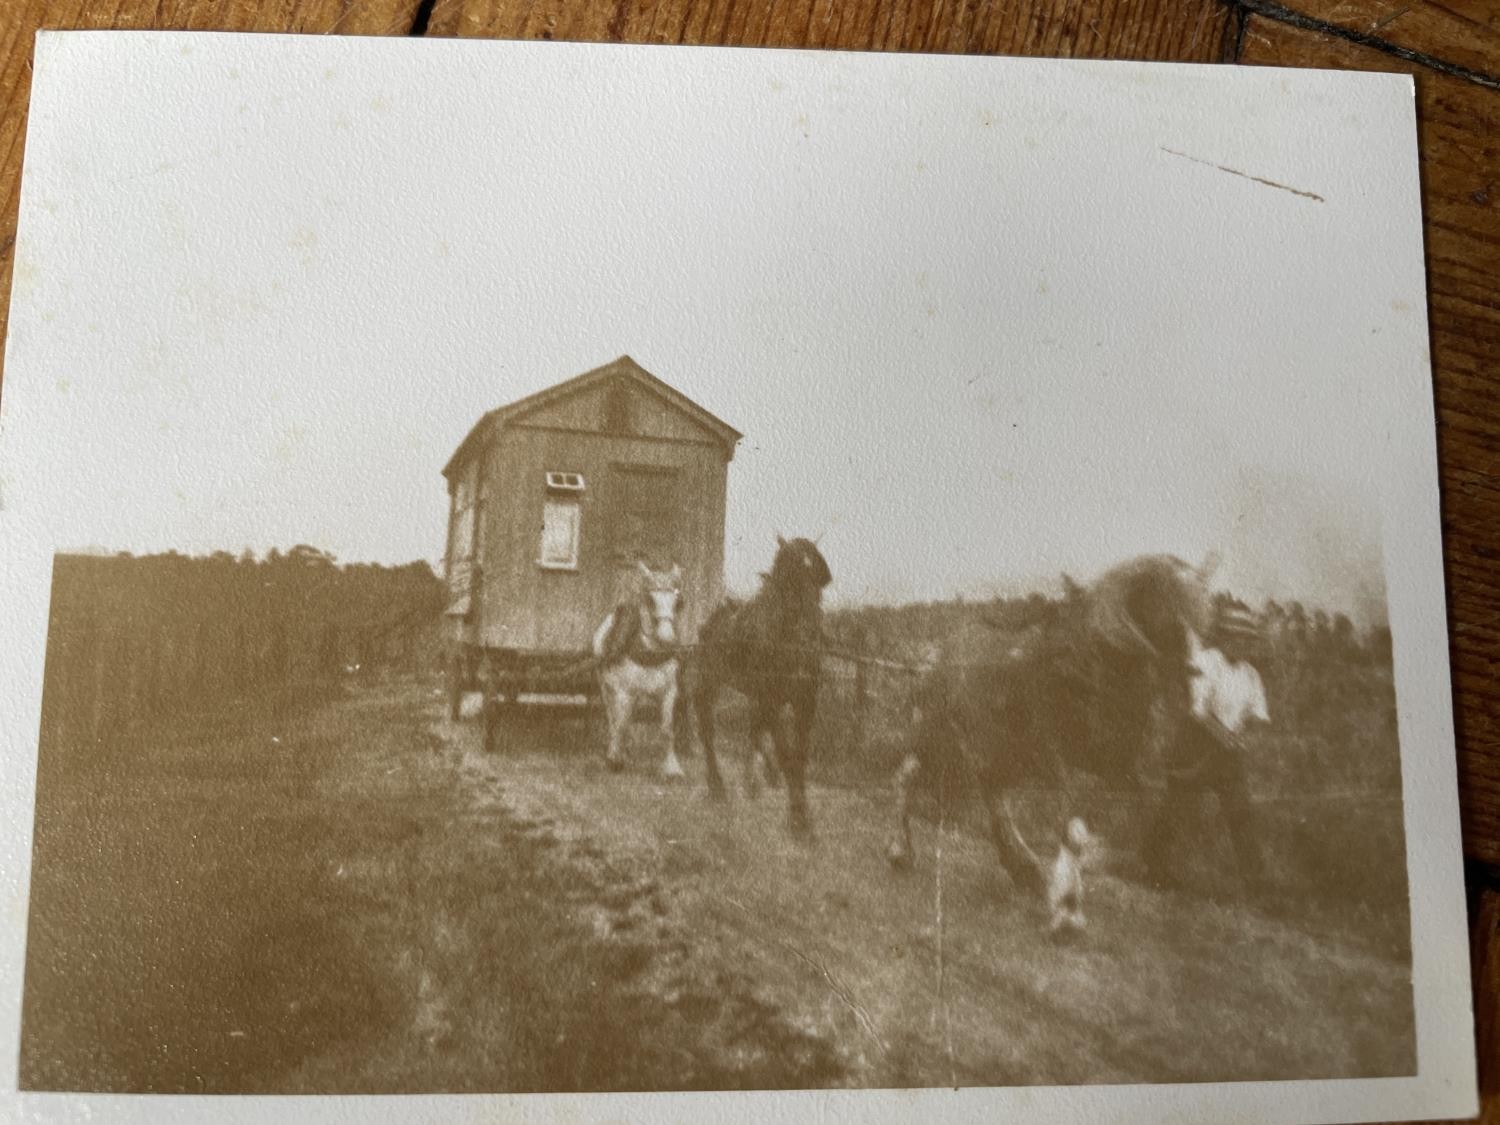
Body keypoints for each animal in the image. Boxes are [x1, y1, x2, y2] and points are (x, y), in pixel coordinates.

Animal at [591, 561, 687, 780]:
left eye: (678, 602)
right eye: (650, 600)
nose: (667, 638)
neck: (649, 654)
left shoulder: (669, 692)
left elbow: (667, 729)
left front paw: (672, 768)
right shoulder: (623, 692)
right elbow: (620, 724)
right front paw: (615, 759)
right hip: (607, 687)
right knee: (614, 718)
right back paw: (615, 751)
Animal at [687, 534, 834, 840]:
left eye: (818, 578)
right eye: (786, 579)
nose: (809, 635)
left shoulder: (805, 701)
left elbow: (797, 756)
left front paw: (802, 815)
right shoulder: (770, 697)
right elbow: (786, 753)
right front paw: (797, 819)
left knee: (755, 727)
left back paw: (757, 778)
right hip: (708, 685)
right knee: (707, 730)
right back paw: (717, 784)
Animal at [882, 555, 1260, 906]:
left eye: (1200, 611)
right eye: (1165, 605)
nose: (1197, 667)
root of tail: (933, 657)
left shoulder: (1125, 759)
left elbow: (1150, 800)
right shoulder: (1053, 753)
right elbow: (1073, 813)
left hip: (999, 754)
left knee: (995, 799)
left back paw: (1024, 868)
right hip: (936, 734)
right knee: (907, 775)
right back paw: (900, 850)